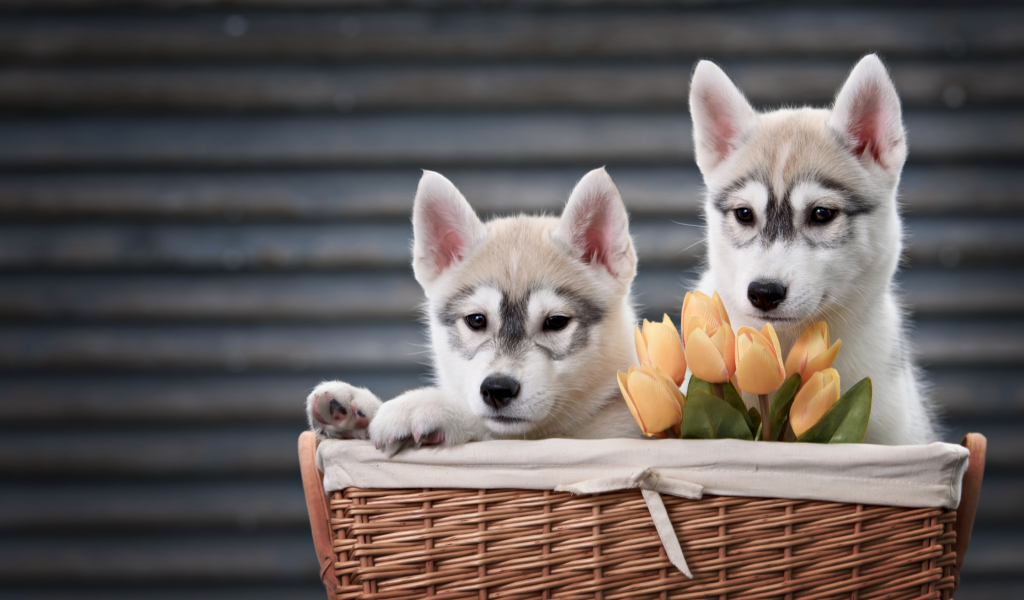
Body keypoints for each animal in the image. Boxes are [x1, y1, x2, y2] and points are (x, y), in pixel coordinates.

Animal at [303, 165, 643, 450]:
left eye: (556, 321)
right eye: (476, 320)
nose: (497, 389)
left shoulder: (611, 430)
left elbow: (489, 429)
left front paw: (427, 406)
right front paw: (357, 409)